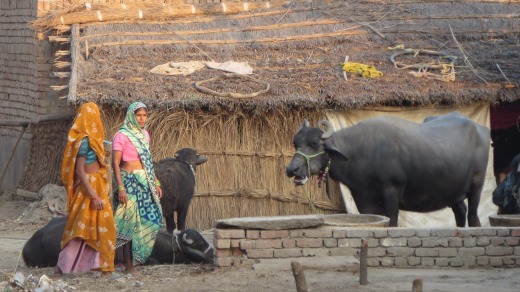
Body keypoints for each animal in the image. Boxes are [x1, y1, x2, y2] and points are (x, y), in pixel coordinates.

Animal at [286, 112, 490, 228]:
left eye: (314, 143)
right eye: (295, 143)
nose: (292, 169)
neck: (360, 151)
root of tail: (482, 129)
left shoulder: (392, 191)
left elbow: (392, 222)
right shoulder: (364, 199)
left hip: (477, 186)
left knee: (473, 217)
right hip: (453, 193)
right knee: (461, 212)